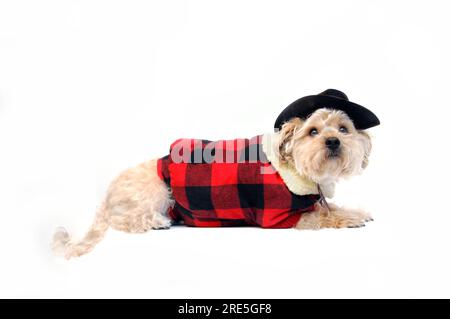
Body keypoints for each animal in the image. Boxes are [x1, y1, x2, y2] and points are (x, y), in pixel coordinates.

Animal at [51, 90, 376, 260]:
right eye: (313, 132)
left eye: (344, 129)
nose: (333, 142)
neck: (295, 168)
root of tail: (107, 196)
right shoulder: (281, 217)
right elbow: (323, 217)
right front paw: (350, 218)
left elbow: (329, 207)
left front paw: (353, 210)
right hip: (158, 191)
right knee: (124, 220)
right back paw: (156, 221)